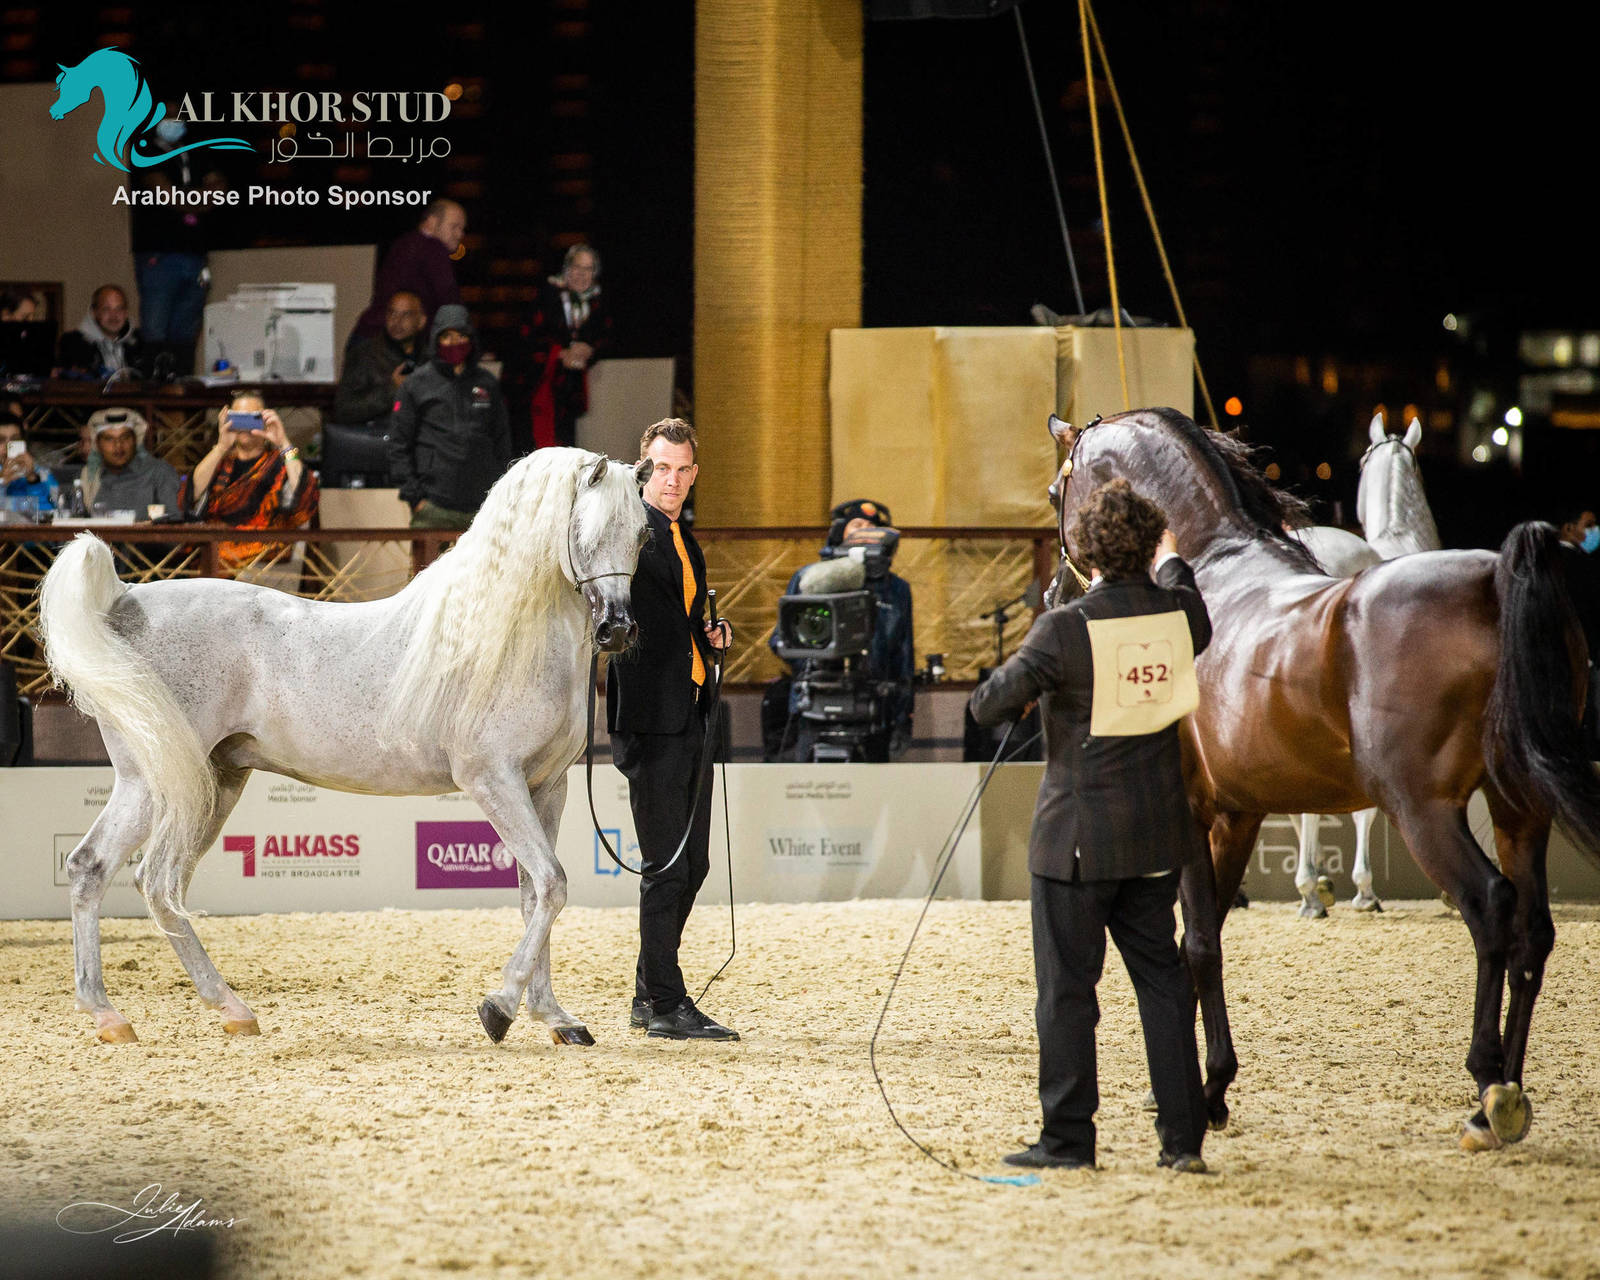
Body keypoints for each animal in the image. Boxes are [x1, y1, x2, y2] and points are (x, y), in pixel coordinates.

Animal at [38, 448, 650, 1048]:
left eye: (643, 533)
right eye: (582, 529)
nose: (618, 630)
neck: (505, 641)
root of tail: (125, 601)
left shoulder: (547, 786)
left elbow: (536, 894)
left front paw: (556, 1018)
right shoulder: (493, 780)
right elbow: (553, 884)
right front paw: (498, 1009)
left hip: (204, 783)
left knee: (128, 874)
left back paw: (190, 1012)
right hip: (154, 782)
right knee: (124, 873)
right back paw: (132, 1013)